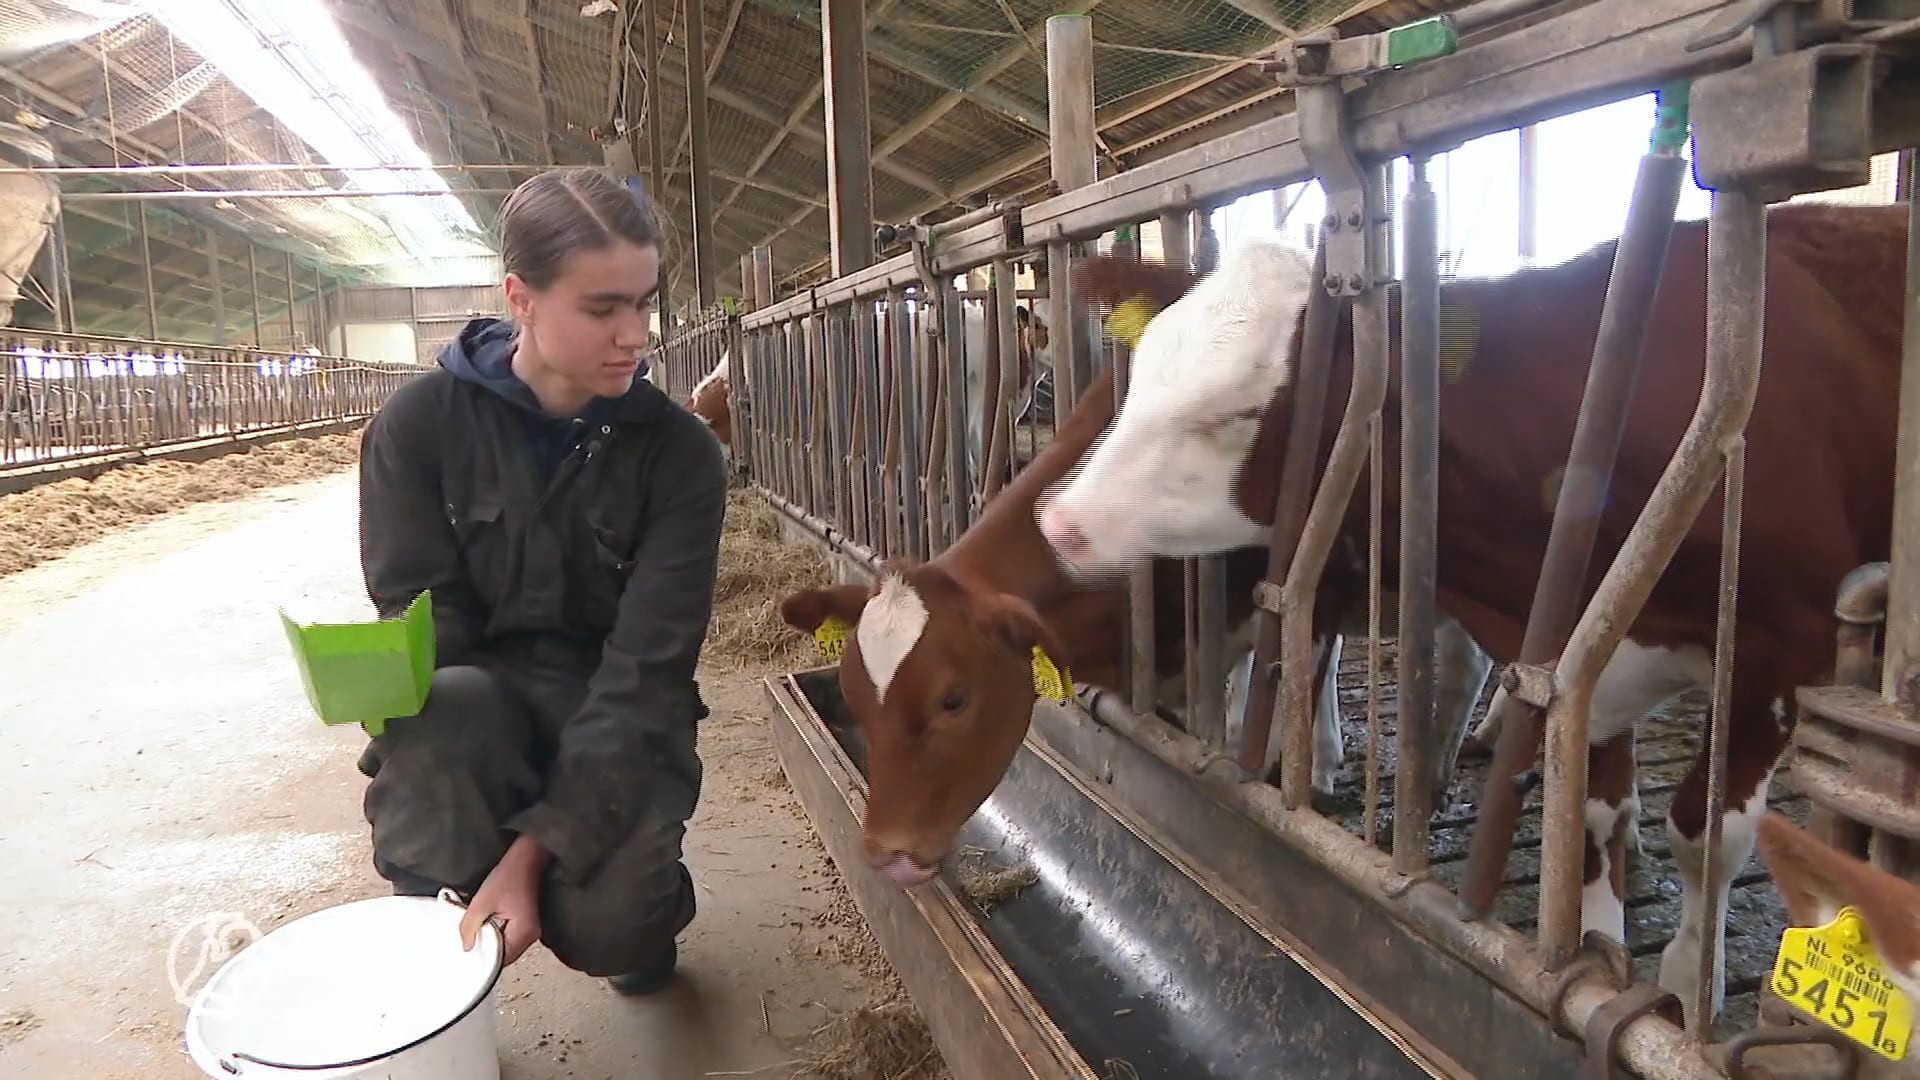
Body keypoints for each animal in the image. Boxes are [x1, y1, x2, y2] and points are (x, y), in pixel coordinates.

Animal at [1036, 197, 1904, 1022]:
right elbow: (1594, 817)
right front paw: (1599, 952)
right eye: (1146, 368)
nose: (1057, 522)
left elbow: (1707, 836)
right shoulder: (1587, 654)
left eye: (1239, 415)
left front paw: (1692, 987)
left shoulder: (1782, 653)